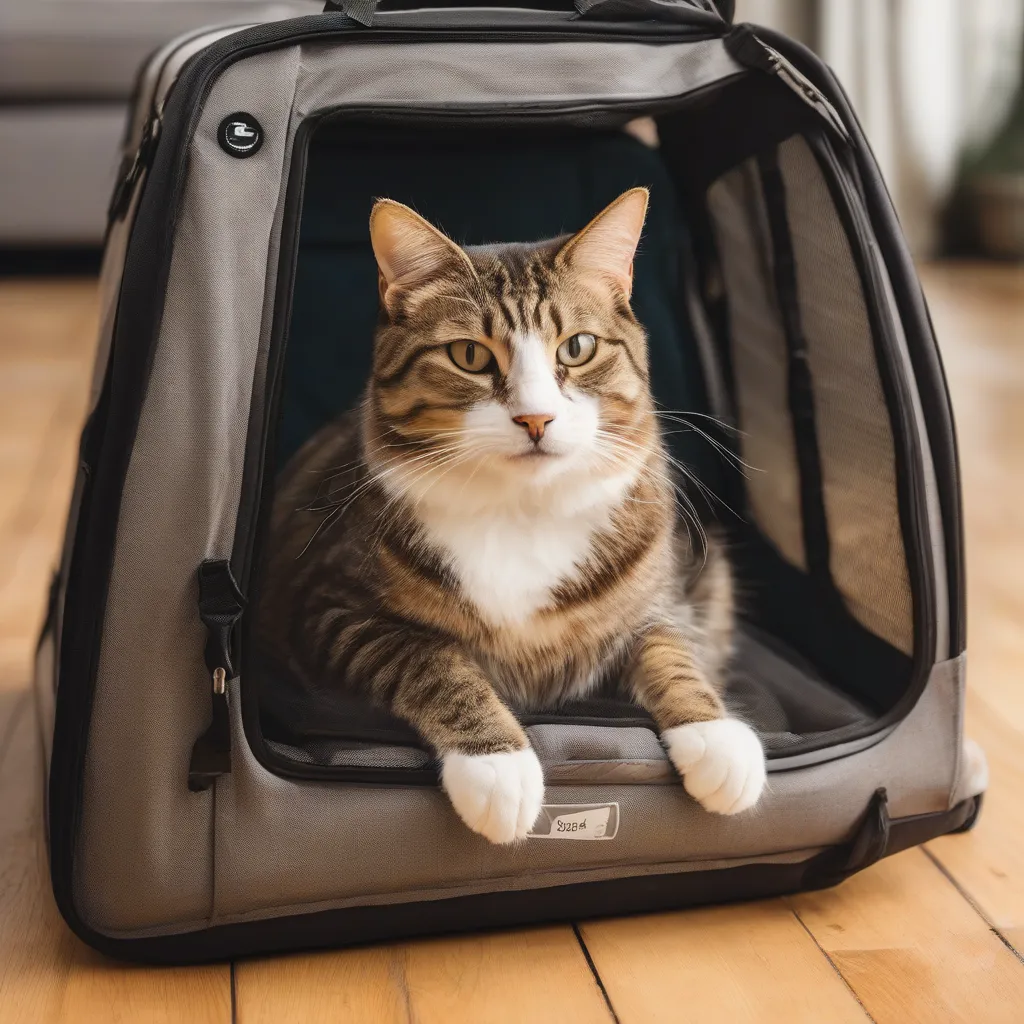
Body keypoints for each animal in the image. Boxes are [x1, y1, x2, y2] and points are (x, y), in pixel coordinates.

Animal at [260, 188, 765, 843]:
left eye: (577, 347)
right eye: (469, 355)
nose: (535, 418)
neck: (522, 508)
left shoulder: (659, 593)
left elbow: (670, 647)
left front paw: (716, 737)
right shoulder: (329, 607)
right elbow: (430, 661)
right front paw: (498, 765)